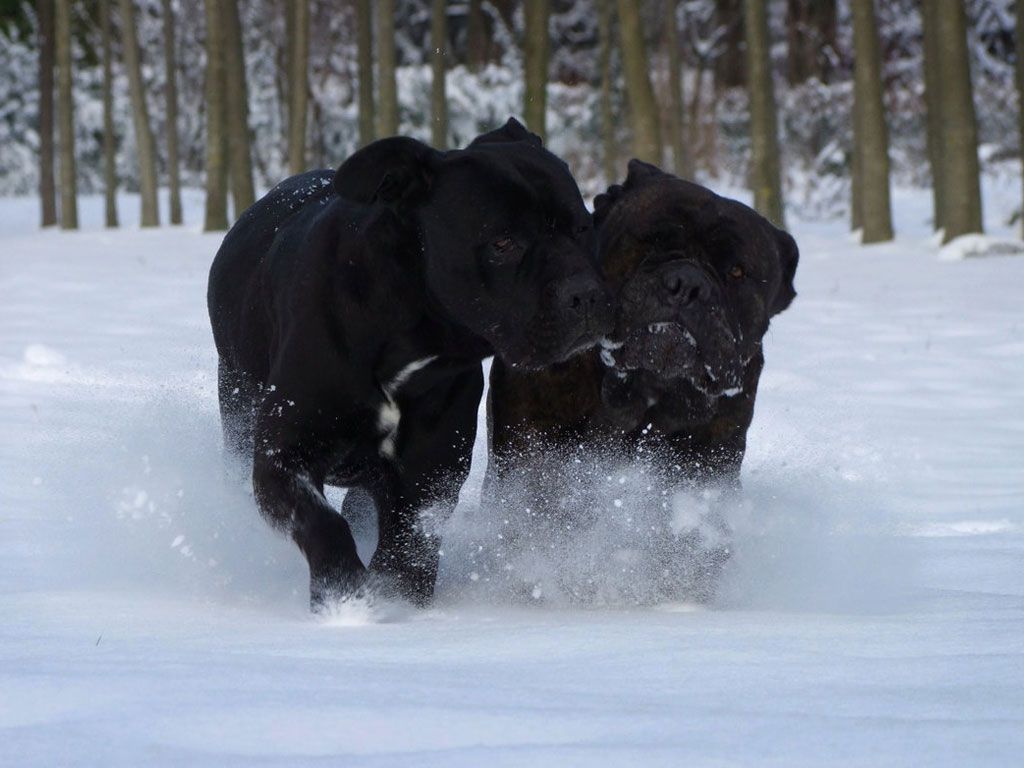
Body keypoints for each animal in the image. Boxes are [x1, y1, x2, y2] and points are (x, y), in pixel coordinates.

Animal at [203, 120, 610, 610]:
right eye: (503, 242)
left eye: (582, 227)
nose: (586, 295)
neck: (410, 335)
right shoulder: (284, 451)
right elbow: (320, 521)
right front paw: (343, 592)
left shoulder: (430, 468)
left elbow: (410, 541)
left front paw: (395, 595)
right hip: (238, 409)